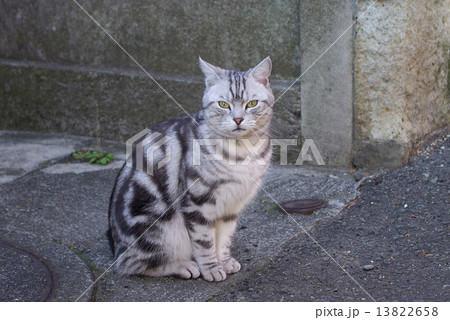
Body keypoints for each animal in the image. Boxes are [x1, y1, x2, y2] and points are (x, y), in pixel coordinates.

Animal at [109, 56, 274, 282]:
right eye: (223, 104)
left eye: (252, 103)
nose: (238, 119)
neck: (242, 151)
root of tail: (115, 247)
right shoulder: (197, 202)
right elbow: (204, 242)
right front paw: (211, 268)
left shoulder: (231, 205)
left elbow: (224, 238)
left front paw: (223, 261)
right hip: (160, 227)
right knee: (134, 264)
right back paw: (183, 266)